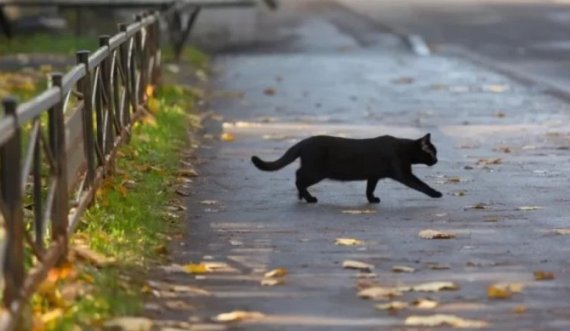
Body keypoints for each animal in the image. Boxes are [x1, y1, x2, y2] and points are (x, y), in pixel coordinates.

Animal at [251, 134, 442, 204]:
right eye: (432, 153)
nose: (437, 160)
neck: (404, 149)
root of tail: (304, 142)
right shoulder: (403, 173)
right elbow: (421, 184)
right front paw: (436, 193)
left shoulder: (373, 175)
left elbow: (369, 188)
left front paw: (372, 199)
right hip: (315, 172)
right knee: (298, 178)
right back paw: (309, 198)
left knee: (298, 176)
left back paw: (301, 196)